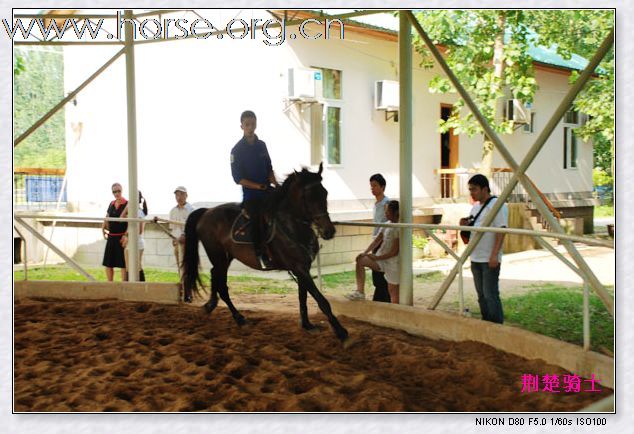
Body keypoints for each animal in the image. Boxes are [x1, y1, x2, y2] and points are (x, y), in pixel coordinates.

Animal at [180, 164, 348, 344]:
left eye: (325, 193)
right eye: (308, 197)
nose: (329, 231)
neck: (292, 227)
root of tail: (207, 211)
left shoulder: (303, 268)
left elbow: (302, 297)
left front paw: (307, 325)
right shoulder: (299, 268)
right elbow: (321, 300)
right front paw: (341, 332)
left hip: (226, 257)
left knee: (215, 275)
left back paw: (211, 305)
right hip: (217, 254)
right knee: (222, 285)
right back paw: (238, 317)